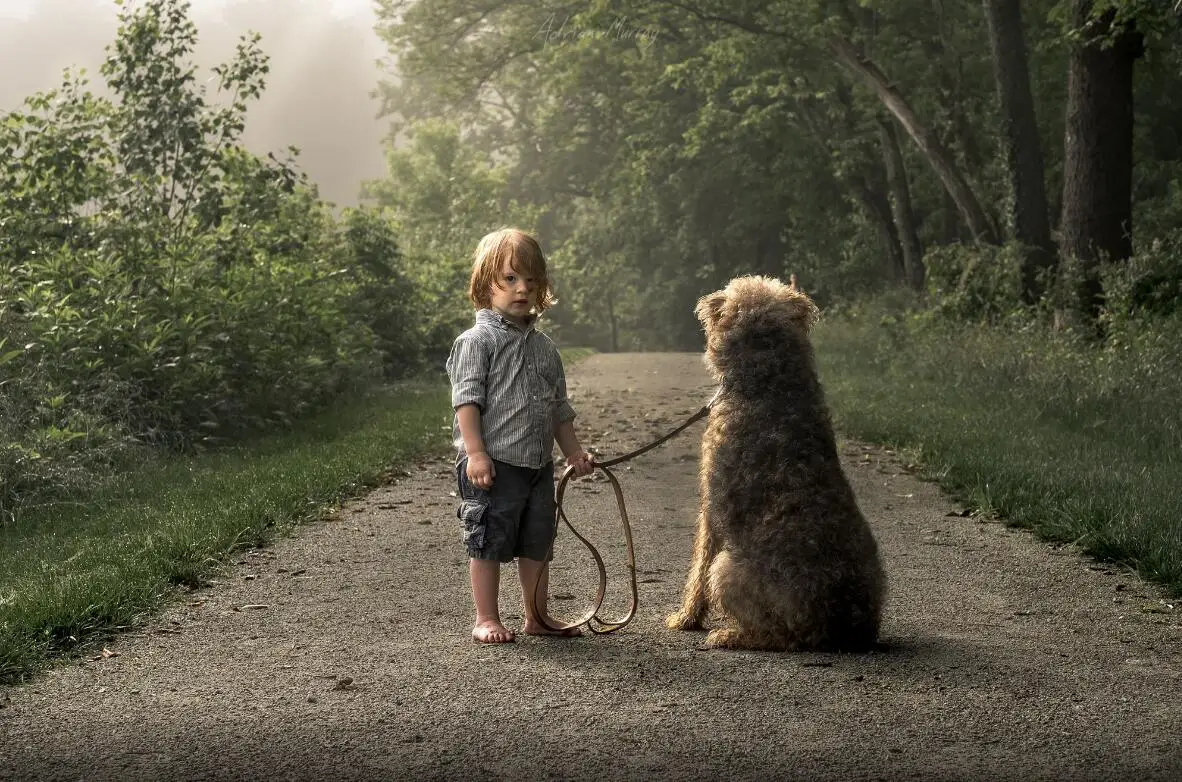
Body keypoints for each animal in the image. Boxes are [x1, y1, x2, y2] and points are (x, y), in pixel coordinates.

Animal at [666, 277, 888, 656]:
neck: (770, 380)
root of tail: (848, 629)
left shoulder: (711, 508)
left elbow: (698, 568)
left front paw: (686, 618)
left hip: (728, 569)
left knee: (782, 637)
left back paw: (730, 635)